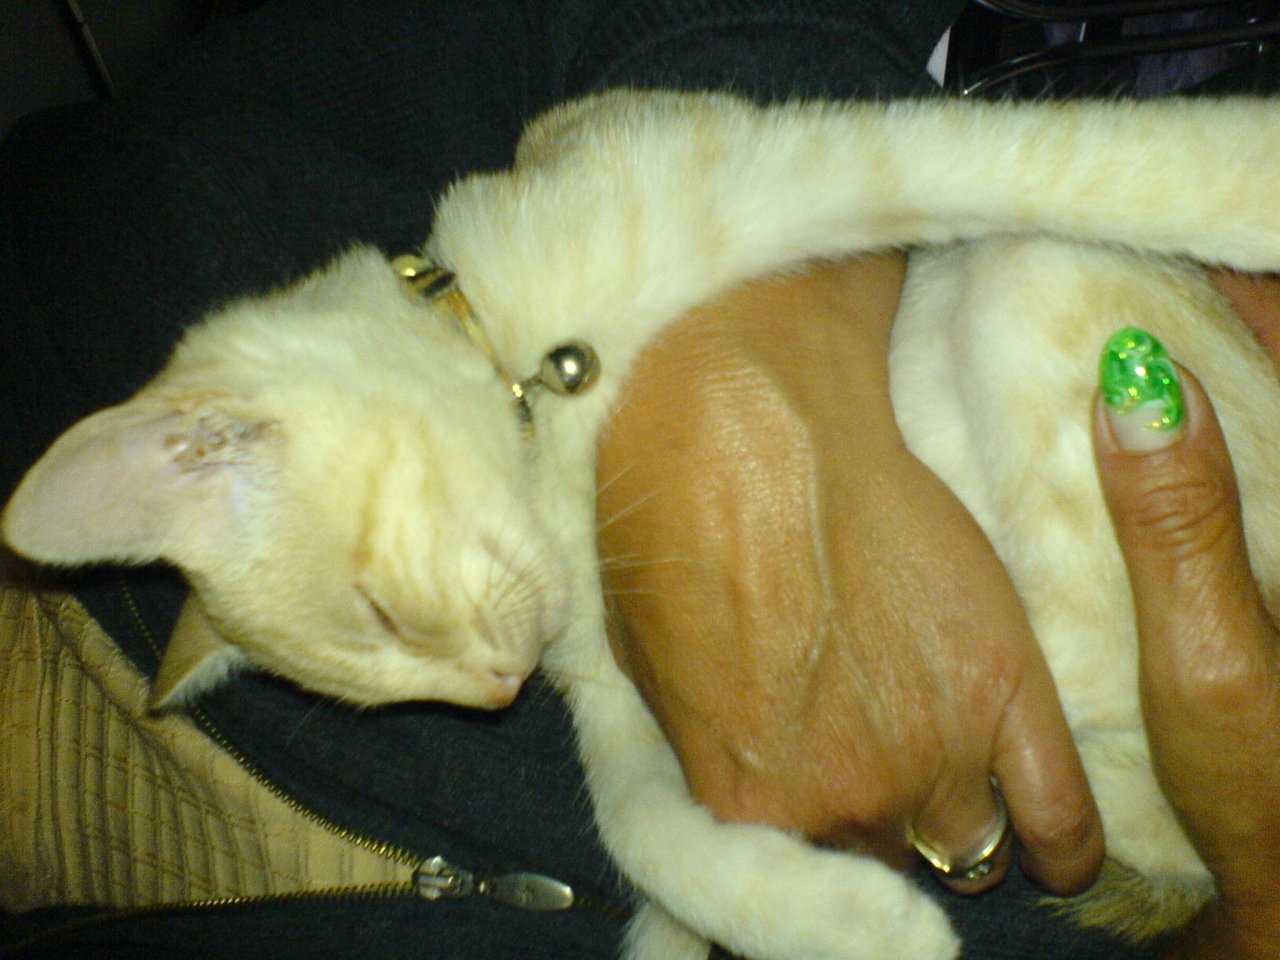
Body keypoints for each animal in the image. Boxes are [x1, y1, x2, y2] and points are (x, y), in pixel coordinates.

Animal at [5, 90, 1280, 960]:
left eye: (382, 615)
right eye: (389, 681)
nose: (494, 693)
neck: (527, 368)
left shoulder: (799, 159)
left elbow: (1080, 154)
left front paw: (1247, 174)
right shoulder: (612, 682)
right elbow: (639, 832)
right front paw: (843, 919)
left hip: (1029, 280)